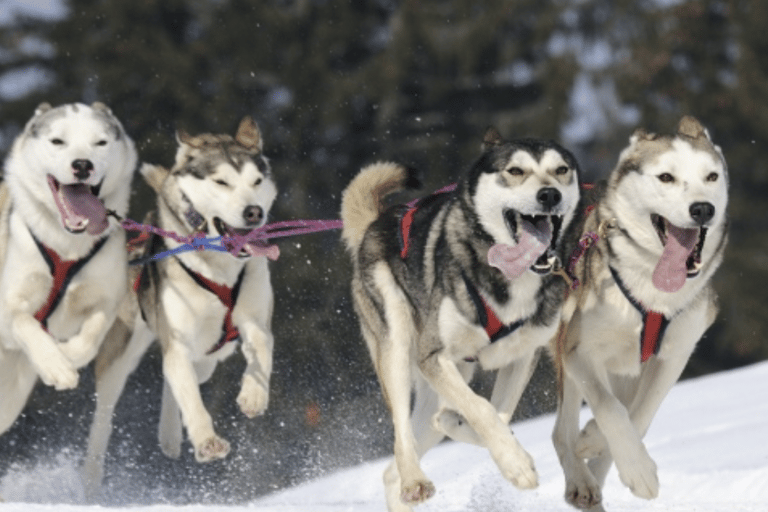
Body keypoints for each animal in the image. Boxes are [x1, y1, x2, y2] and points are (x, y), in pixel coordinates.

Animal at [0, 103, 136, 436]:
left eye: (100, 142)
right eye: (57, 141)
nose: (82, 165)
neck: (66, 247)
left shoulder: (106, 299)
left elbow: (92, 335)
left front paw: (69, 356)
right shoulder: (9, 307)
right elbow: (25, 322)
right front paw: (55, 365)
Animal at [83, 118, 276, 494]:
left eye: (256, 182)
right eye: (221, 182)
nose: (254, 212)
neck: (218, 267)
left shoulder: (253, 318)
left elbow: (261, 343)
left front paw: (253, 396)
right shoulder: (178, 336)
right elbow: (189, 396)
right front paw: (206, 442)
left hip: (210, 356)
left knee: (176, 376)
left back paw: (170, 436)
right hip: (124, 350)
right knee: (106, 412)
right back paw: (92, 476)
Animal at [340, 128, 580, 508]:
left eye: (561, 170)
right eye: (515, 171)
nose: (549, 195)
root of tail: (378, 222)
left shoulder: (522, 355)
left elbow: (497, 414)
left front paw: (477, 433)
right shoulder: (435, 356)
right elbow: (482, 409)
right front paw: (516, 464)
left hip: (447, 378)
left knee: (393, 468)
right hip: (397, 345)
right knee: (401, 435)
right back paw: (414, 479)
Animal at [552, 116, 728, 508]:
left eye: (711, 176)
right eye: (666, 177)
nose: (702, 209)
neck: (652, 295)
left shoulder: (674, 354)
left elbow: (641, 414)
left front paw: (604, 445)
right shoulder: (579, 350)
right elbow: (611, 409)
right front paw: (637, 469)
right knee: (561, 430)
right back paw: (580, 479)